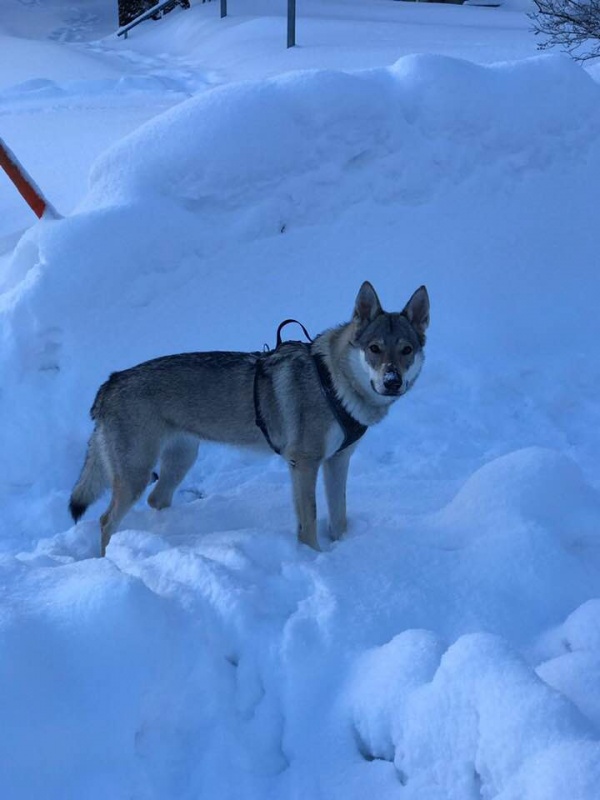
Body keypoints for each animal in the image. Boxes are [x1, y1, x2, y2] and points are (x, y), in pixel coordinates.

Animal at [69, 282, 426, 556]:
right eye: (374, 349)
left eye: (406, 350)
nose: (392, 381)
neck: (333, 384)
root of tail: (110, 383)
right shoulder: (303, 464)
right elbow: (309, 520)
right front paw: (315, 558)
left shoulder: (338, 461)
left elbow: (339, 518)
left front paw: (342, 548)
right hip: (136, 476)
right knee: (105, 522)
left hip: (181, 460)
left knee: (157, 499)